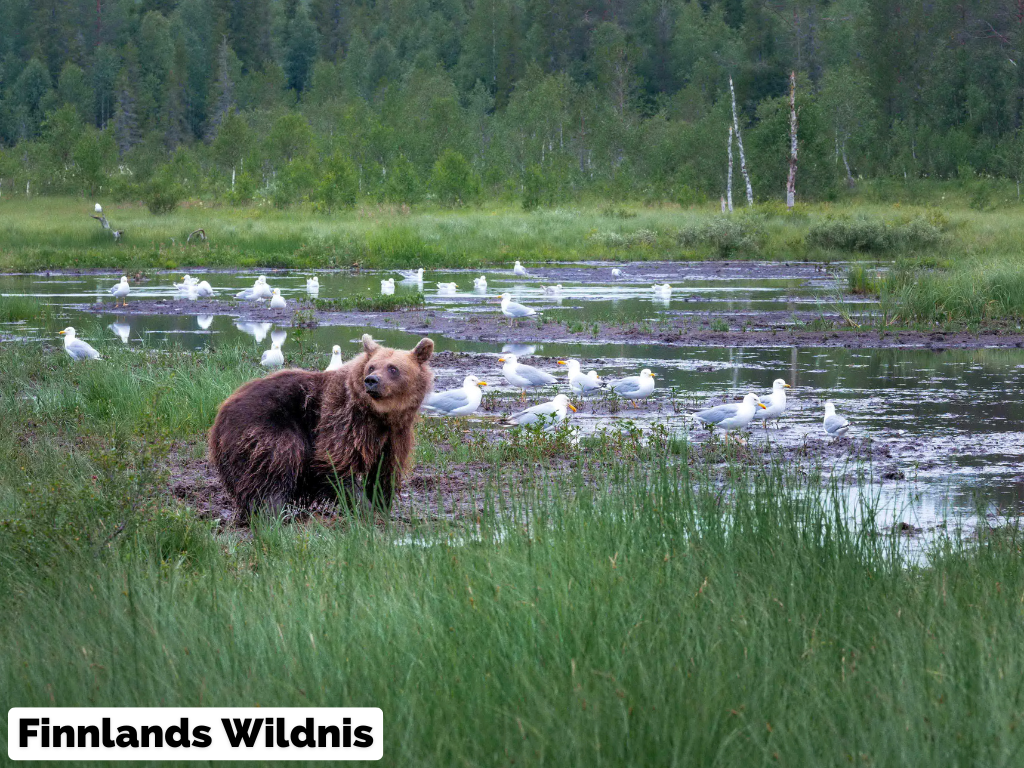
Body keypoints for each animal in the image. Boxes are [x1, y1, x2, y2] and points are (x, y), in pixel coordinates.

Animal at [207, 335, 432, 524]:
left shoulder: (395, 434)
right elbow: (335, 464)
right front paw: (364, 508)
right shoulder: (345, 420)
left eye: (393, 368)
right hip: (267, 425)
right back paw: (276, 513)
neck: (379, 415)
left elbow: (385, 471)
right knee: (276, 463)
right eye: (371, 367)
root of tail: (219, 414)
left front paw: (381, 506)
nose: (372, 381)